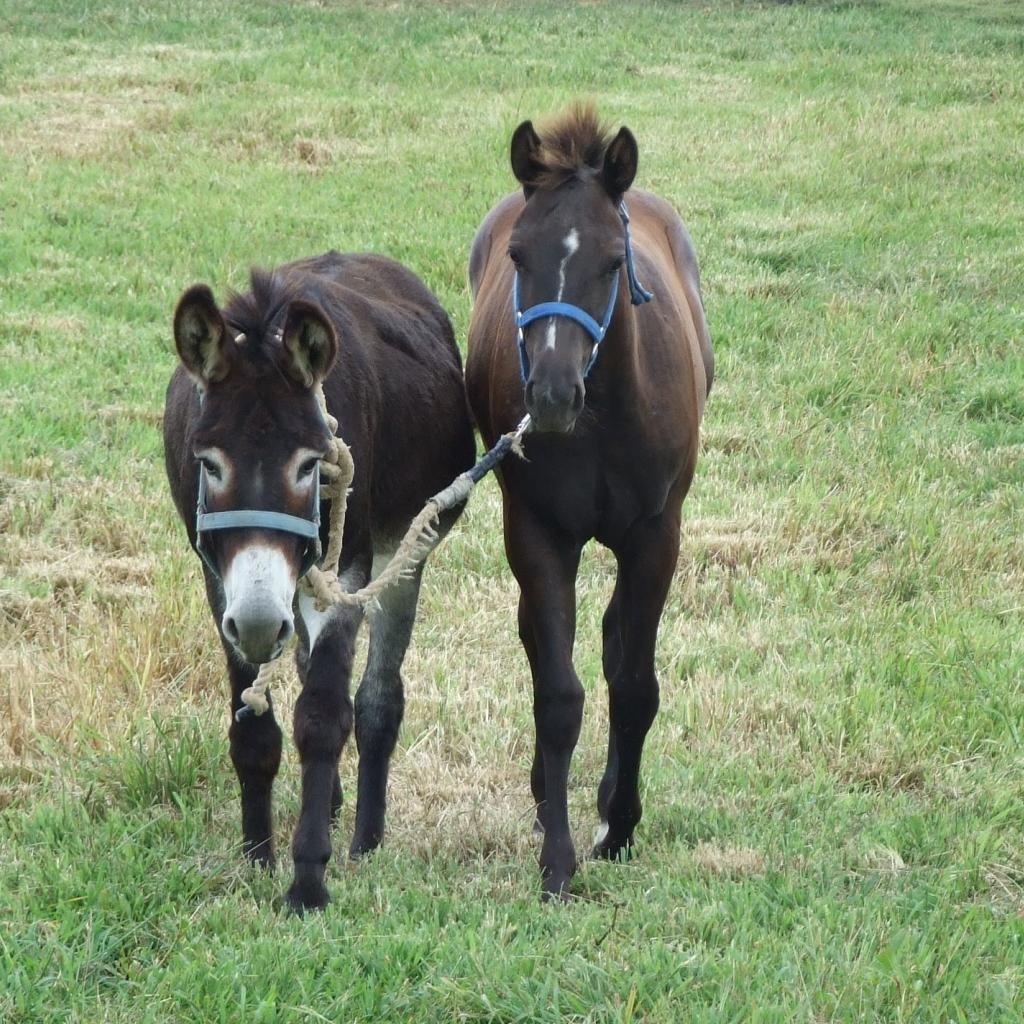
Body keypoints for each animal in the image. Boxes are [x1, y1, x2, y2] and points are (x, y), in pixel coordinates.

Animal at [163, 251, 475, 912]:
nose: (261, 623)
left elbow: (324, 718)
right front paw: (257, 858)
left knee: (377, 701)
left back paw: (363, 841)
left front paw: (308, 880)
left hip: (402, 553)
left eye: (312, 465)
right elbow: (254, 726)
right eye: (209, 464)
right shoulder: (221, 586)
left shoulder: (346, 572)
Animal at [465, 105, 714, 898]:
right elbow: (557, 693)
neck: (603, 420)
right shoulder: (538, 532)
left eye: (611, 261)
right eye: (519, 257)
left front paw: (619, 826)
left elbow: (633, 685)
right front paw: (557, 857)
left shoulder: (657, 534)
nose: (550, 395)